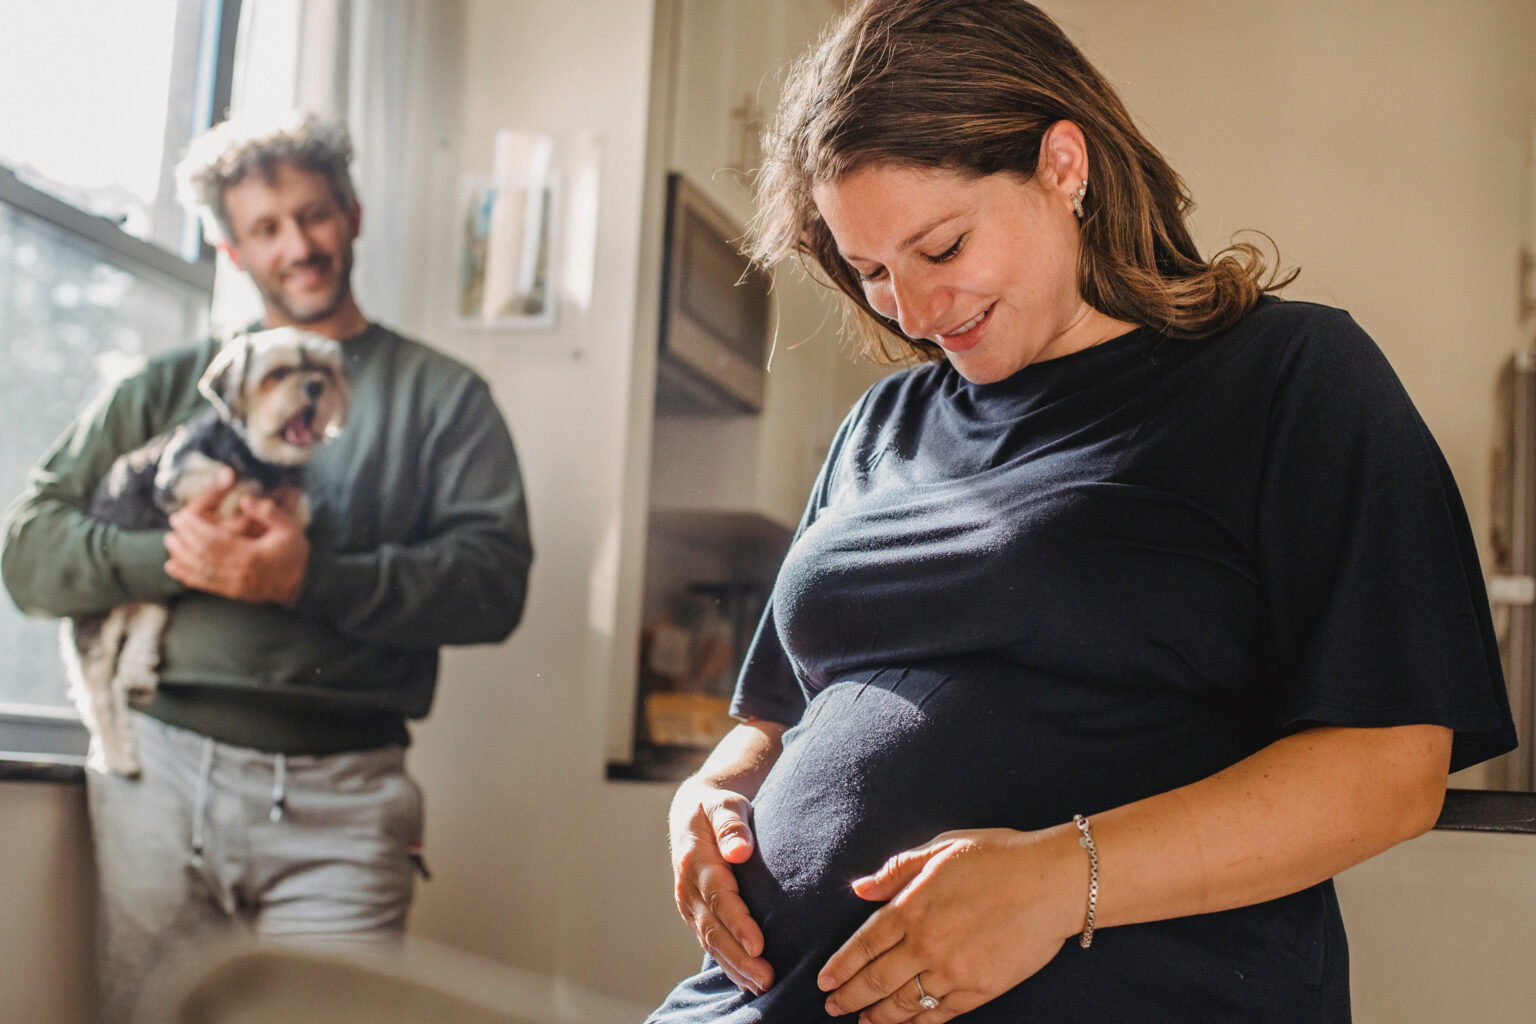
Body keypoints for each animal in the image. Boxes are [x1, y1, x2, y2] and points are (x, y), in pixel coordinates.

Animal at [62, 328, 351, 776]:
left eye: (325, 369)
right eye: (279, 373)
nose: (316, 386)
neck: (253, 453)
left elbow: (294, 507)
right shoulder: (179, 479)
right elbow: (223, 484)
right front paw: (241, 498)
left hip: (149, 598)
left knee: (144, 626)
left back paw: (137, 675)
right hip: (98, 615)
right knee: (97, 693)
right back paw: (117, 756)